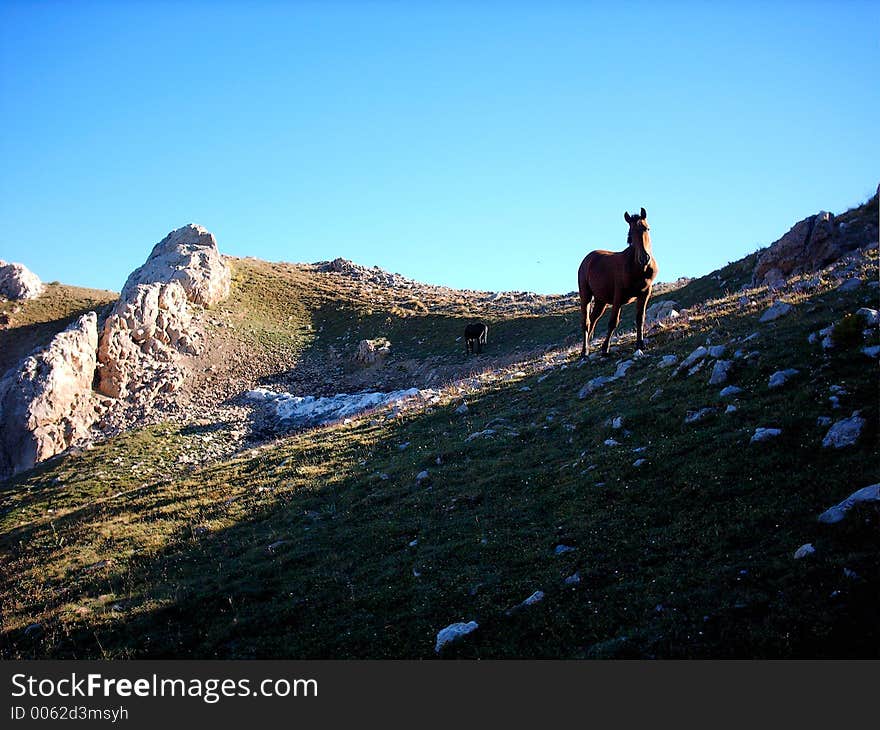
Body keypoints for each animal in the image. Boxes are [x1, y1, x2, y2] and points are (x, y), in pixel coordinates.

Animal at [580, 206, 656, 356]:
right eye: (631, 233)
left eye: (647, 228)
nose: (644, 258)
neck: (639, 270)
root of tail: (588, 258)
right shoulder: (618, 296)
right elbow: (613, 322)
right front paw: (605, 348)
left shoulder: (645, 293)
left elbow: (640, 318)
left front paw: (640, 344)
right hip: (585, 295)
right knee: (586, 322)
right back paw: (584, 352)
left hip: (601, 301)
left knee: (593, 320)